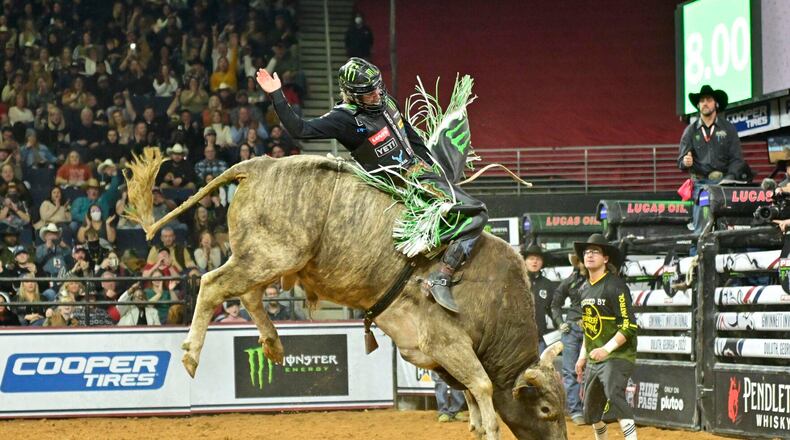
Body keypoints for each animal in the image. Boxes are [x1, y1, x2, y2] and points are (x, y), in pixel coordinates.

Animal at [124, 150, 567, 440]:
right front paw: (489, 427)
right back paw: (191, 354)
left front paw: (475, 425)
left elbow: (474, 397)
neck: (493, 296)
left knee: (248, 296)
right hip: (270, 255)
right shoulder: (448, 343)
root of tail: (258, 165)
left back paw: (273, 344)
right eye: (546, 410)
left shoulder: (440, 357)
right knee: (213, 284)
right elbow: (483, 388)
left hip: (267, 259)